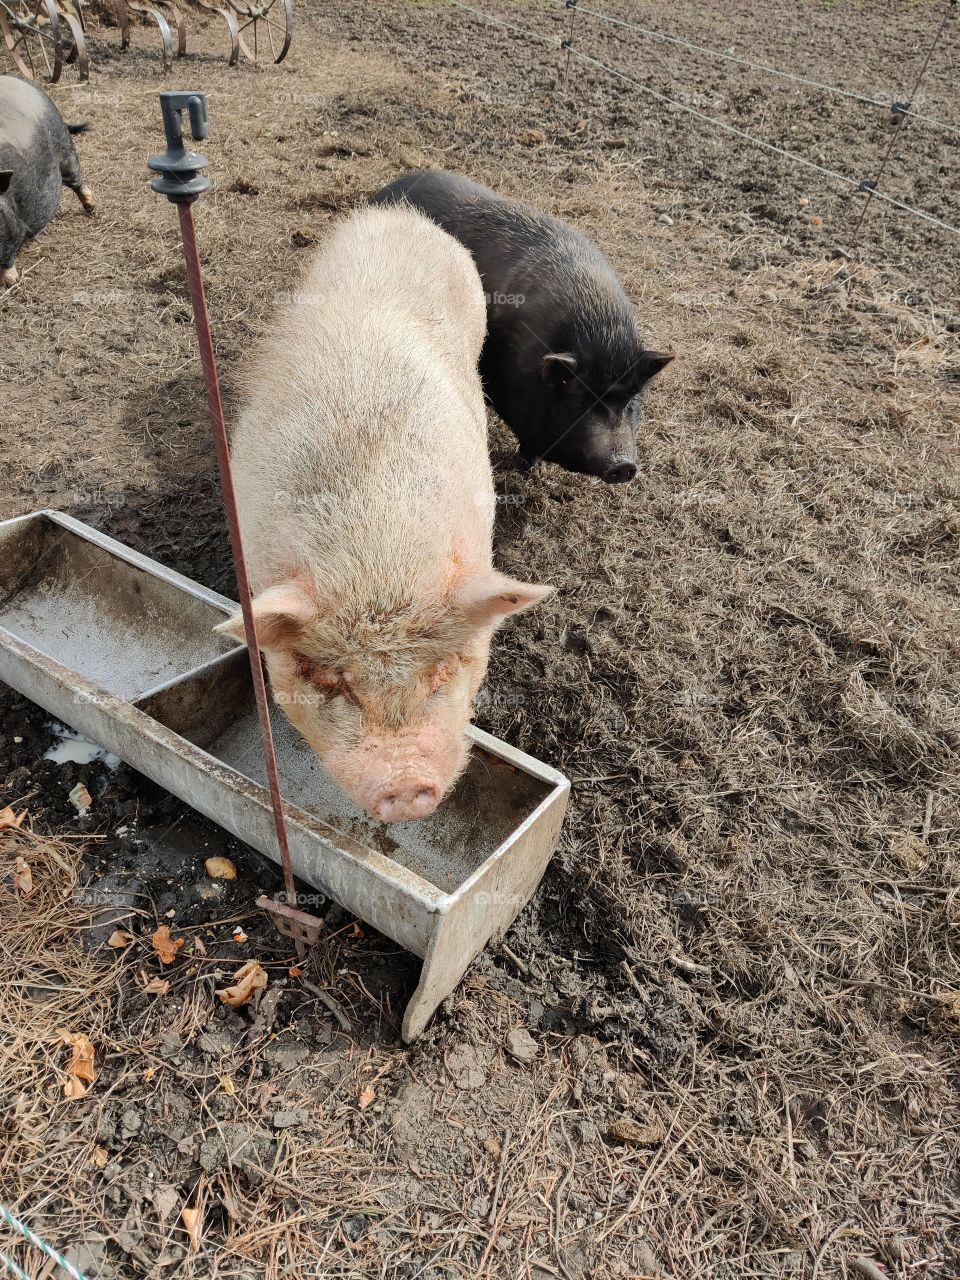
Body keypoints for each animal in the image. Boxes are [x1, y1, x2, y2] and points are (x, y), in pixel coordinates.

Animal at [0, 74, 95, 287]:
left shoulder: (13, 227)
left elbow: (8, 254)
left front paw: (10, 282)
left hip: (65, 147)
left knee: (77, 179)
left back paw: (92, 208)